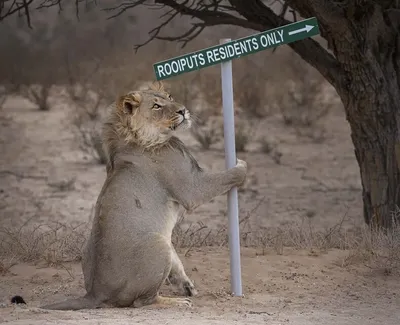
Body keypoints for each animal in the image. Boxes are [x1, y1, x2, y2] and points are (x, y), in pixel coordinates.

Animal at [40, 80, 247, 308]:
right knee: (144, 301)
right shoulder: (192, 187)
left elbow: (177, 263)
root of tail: (95, 293)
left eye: (170, 97)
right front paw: (242, 165)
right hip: (158, 244)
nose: (183, 110)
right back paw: (175, 302)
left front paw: (186, 285)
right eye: (156, 106)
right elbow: (228, 176)